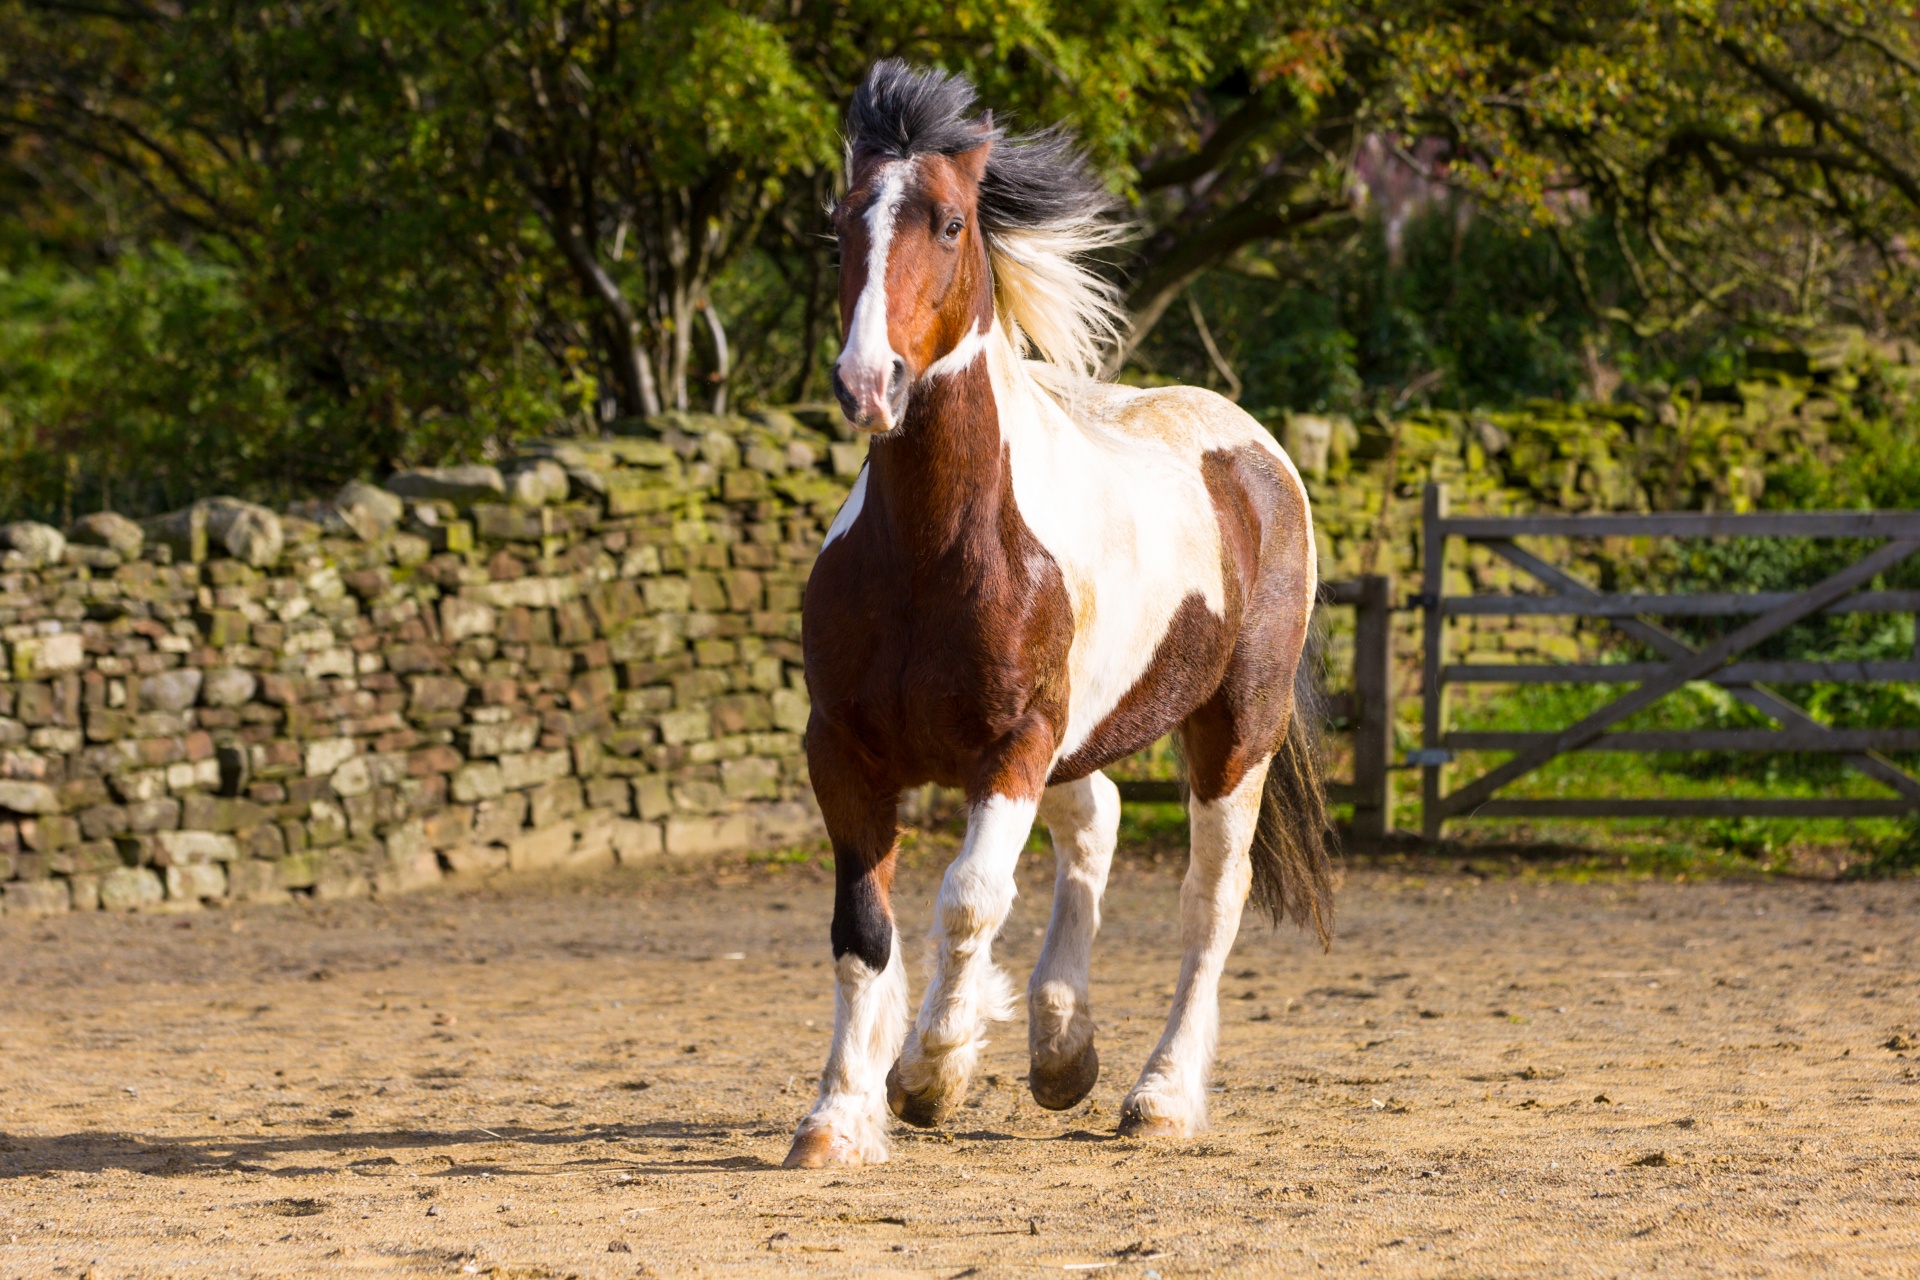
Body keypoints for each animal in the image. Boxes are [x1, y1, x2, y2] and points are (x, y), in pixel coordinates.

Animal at [787, 62, 1328, 1174]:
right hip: (1087, 734)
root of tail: (1256, 451)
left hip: (1233, 732)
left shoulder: (1015, 744)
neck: (936, 549)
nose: (868, 382)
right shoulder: (844, 750)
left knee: (1211, 900)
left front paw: (929, 1073)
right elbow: (863, 931)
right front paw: (839, 1114)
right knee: (1101, 819)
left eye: (950, 224)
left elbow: (967, 899)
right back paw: (1061, 1045)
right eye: (842, 221)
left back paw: (1159, 1095)